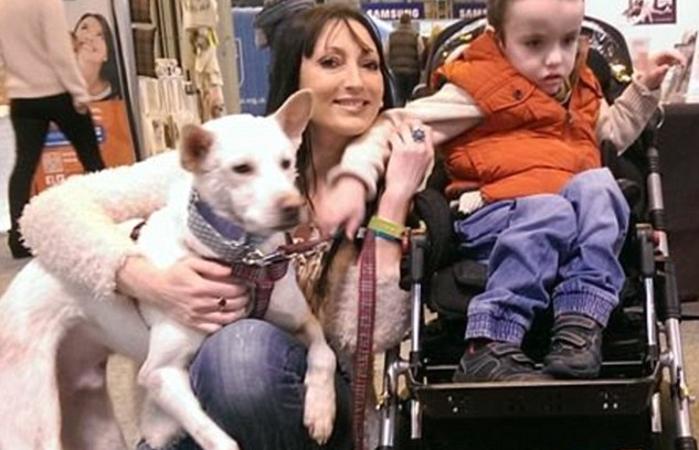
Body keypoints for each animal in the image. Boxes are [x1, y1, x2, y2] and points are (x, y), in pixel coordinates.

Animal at [0, 89, 337, 450]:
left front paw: (320, 409)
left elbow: (325, 354)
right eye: (242, 168)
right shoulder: (159, 374)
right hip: (32, 421)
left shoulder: (304, 322)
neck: (243, 257)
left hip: (92, 416)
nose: (293, 208)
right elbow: (215, 437)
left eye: (286, 163)